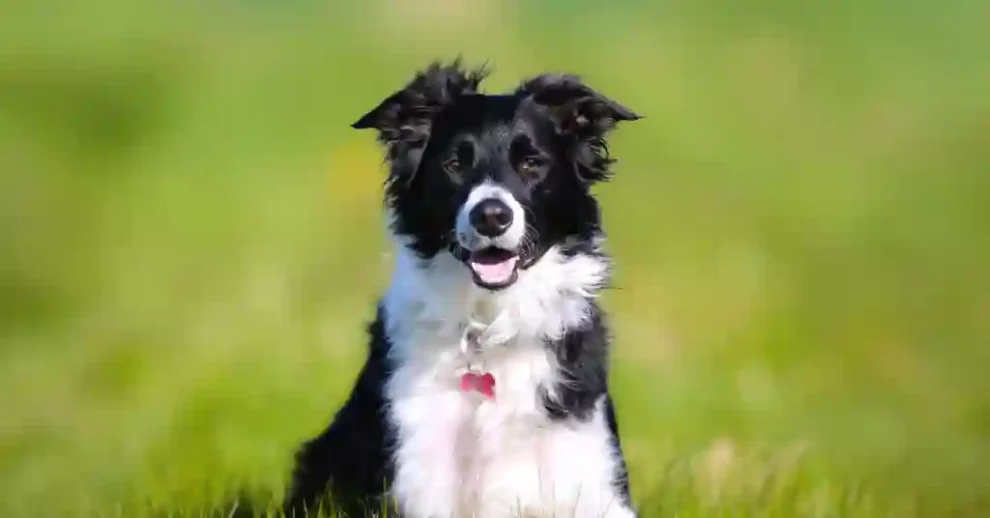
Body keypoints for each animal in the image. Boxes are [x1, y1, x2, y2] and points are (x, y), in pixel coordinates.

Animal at [286, 62, 644, 518]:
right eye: (454, 163)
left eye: (532, 163)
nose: (491, 216)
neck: (490, 328)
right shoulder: (416, 473)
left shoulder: (592, 476)